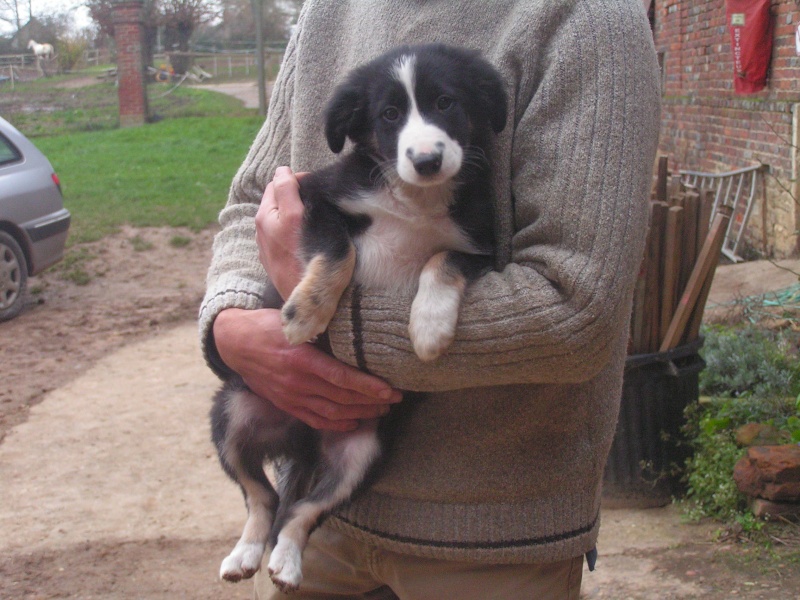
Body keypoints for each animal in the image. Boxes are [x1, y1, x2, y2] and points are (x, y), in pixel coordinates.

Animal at [211, 44, 506, 592]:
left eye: (446, 102)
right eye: (388, 114)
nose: (427, 161)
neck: (416, 200)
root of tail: (302, 439)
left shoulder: (482, 245)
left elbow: (442, 259)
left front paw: (429, 328)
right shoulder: (318, 199)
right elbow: (339, 250)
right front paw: (305, 315)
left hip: (361, 454)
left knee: (300, 511)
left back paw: (286, 561)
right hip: (233, 411)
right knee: (262, 497)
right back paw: (246, 554)